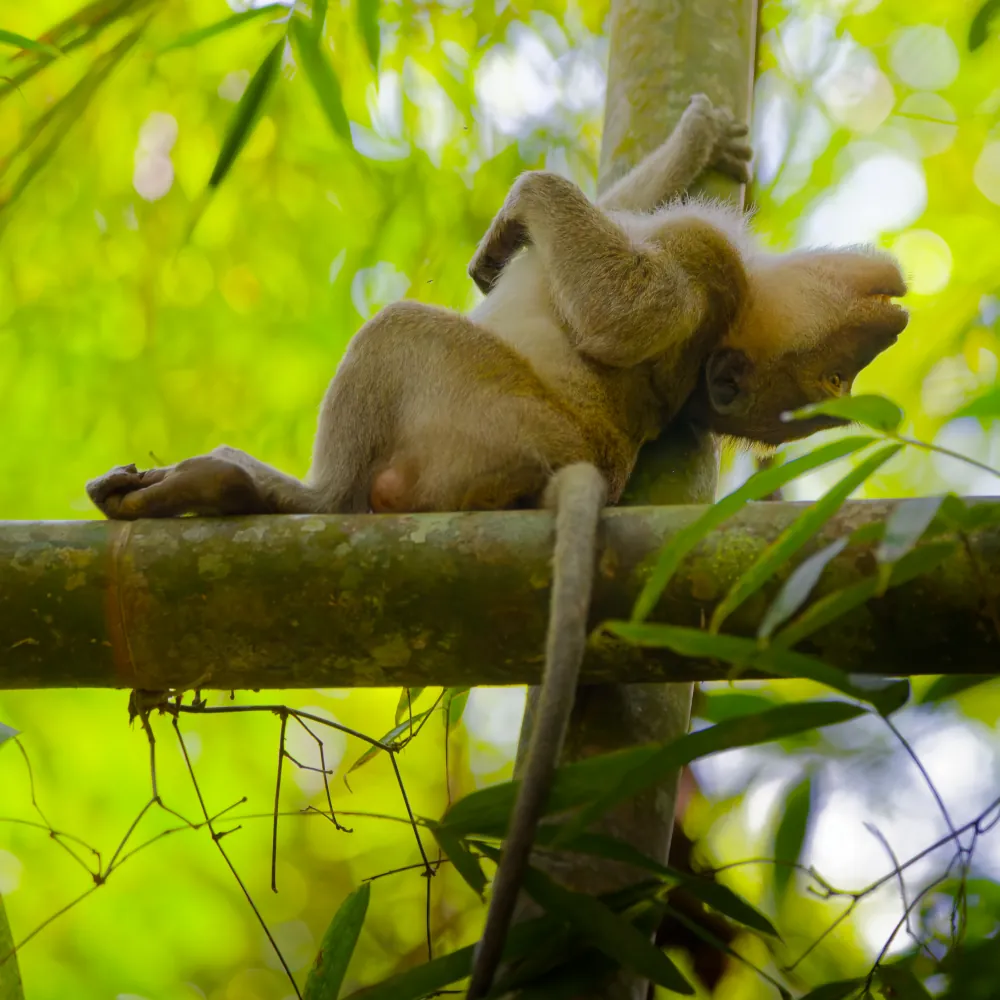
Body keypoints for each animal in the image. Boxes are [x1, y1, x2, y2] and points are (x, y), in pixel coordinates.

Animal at [84, 93, 908, 996]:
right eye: (840, 374)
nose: (885, 333)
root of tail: (565, 460)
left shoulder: (703, 258)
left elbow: (627, 317)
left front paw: (538, 198)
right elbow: (620, 218)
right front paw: (698, 145)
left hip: (476, 402)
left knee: (397, 338)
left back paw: (268, 492)